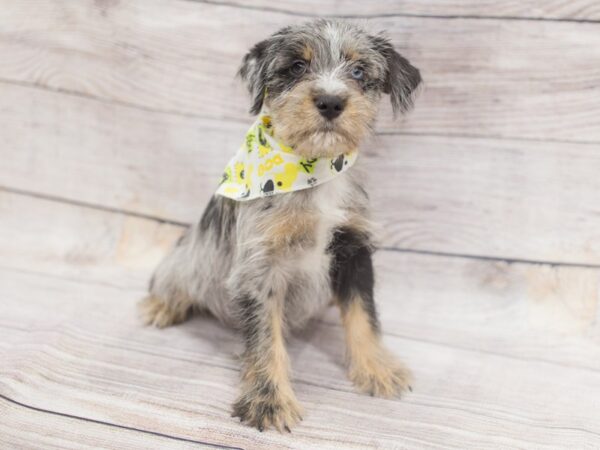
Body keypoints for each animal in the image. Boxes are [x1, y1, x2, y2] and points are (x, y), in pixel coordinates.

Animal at [141, 20, 422, 432]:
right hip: (185, 259)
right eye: (296, 67)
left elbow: (363, 314)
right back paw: (160, 306)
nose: (331, 102)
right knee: (170, 282)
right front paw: (268, 400)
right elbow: (264, 339)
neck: (313, 171)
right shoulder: (259, 267)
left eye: (358, 71)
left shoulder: (354, 249)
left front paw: (377, 369)